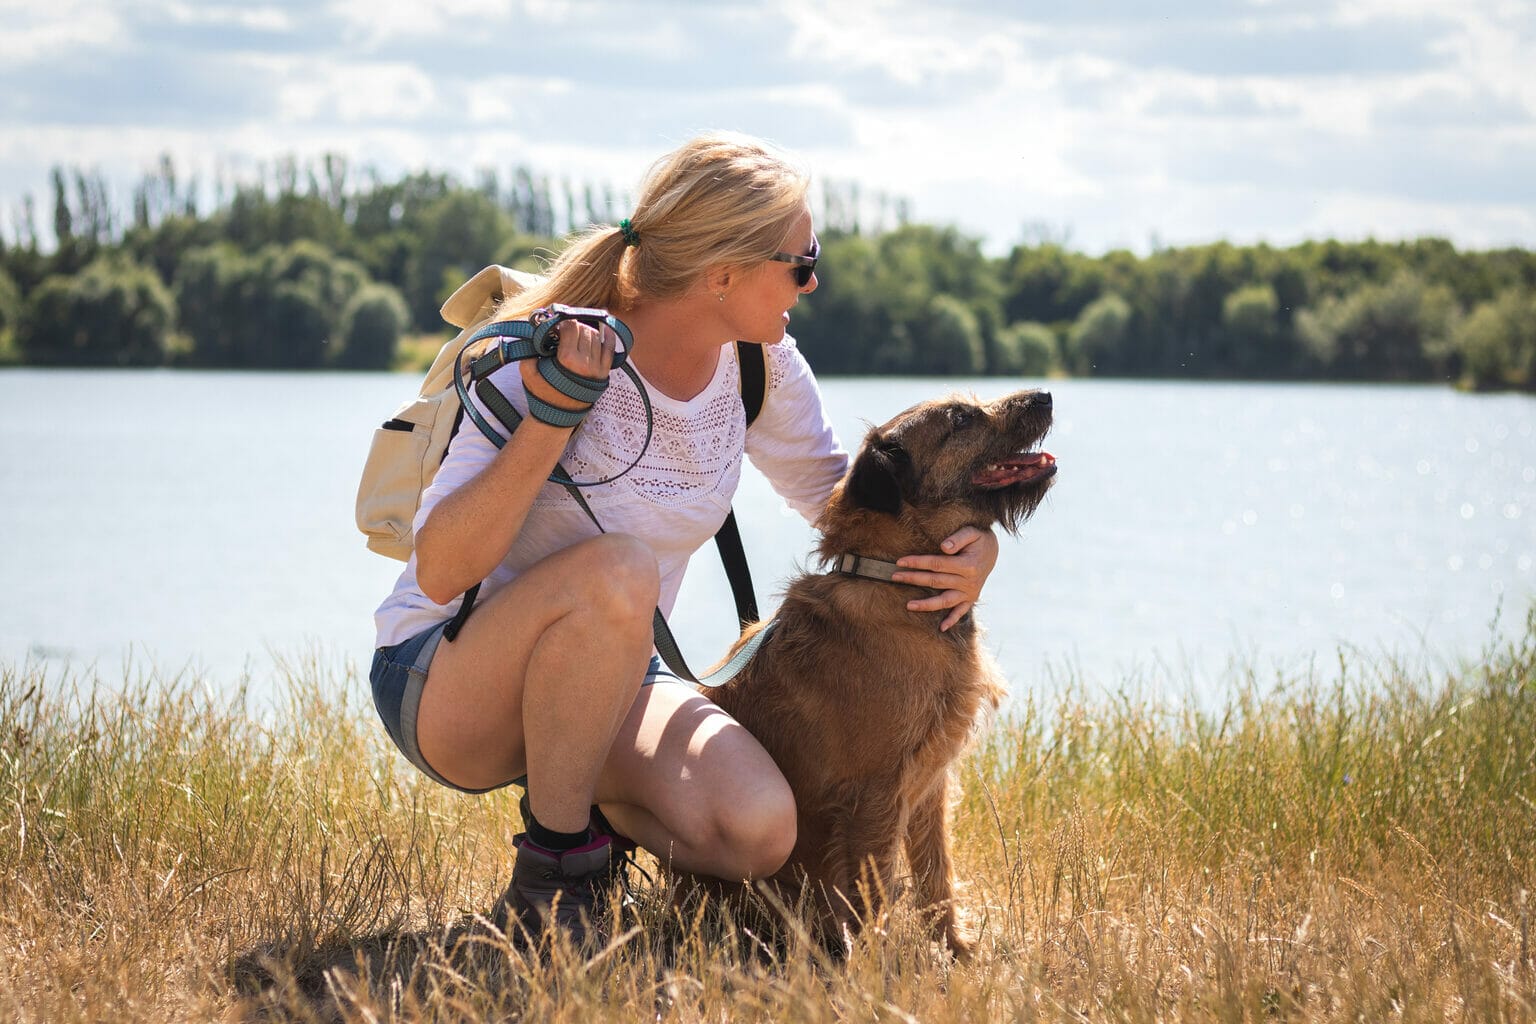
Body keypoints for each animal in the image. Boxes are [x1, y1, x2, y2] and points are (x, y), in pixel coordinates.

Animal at [706, 388, 1056, 957]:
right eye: (961, 418)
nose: (1045, 395)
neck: (894, 580)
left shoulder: (929, 783)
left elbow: (936, 873)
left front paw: (956, 951)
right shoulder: (874, 794)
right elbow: (877, 895)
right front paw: (885, 969)